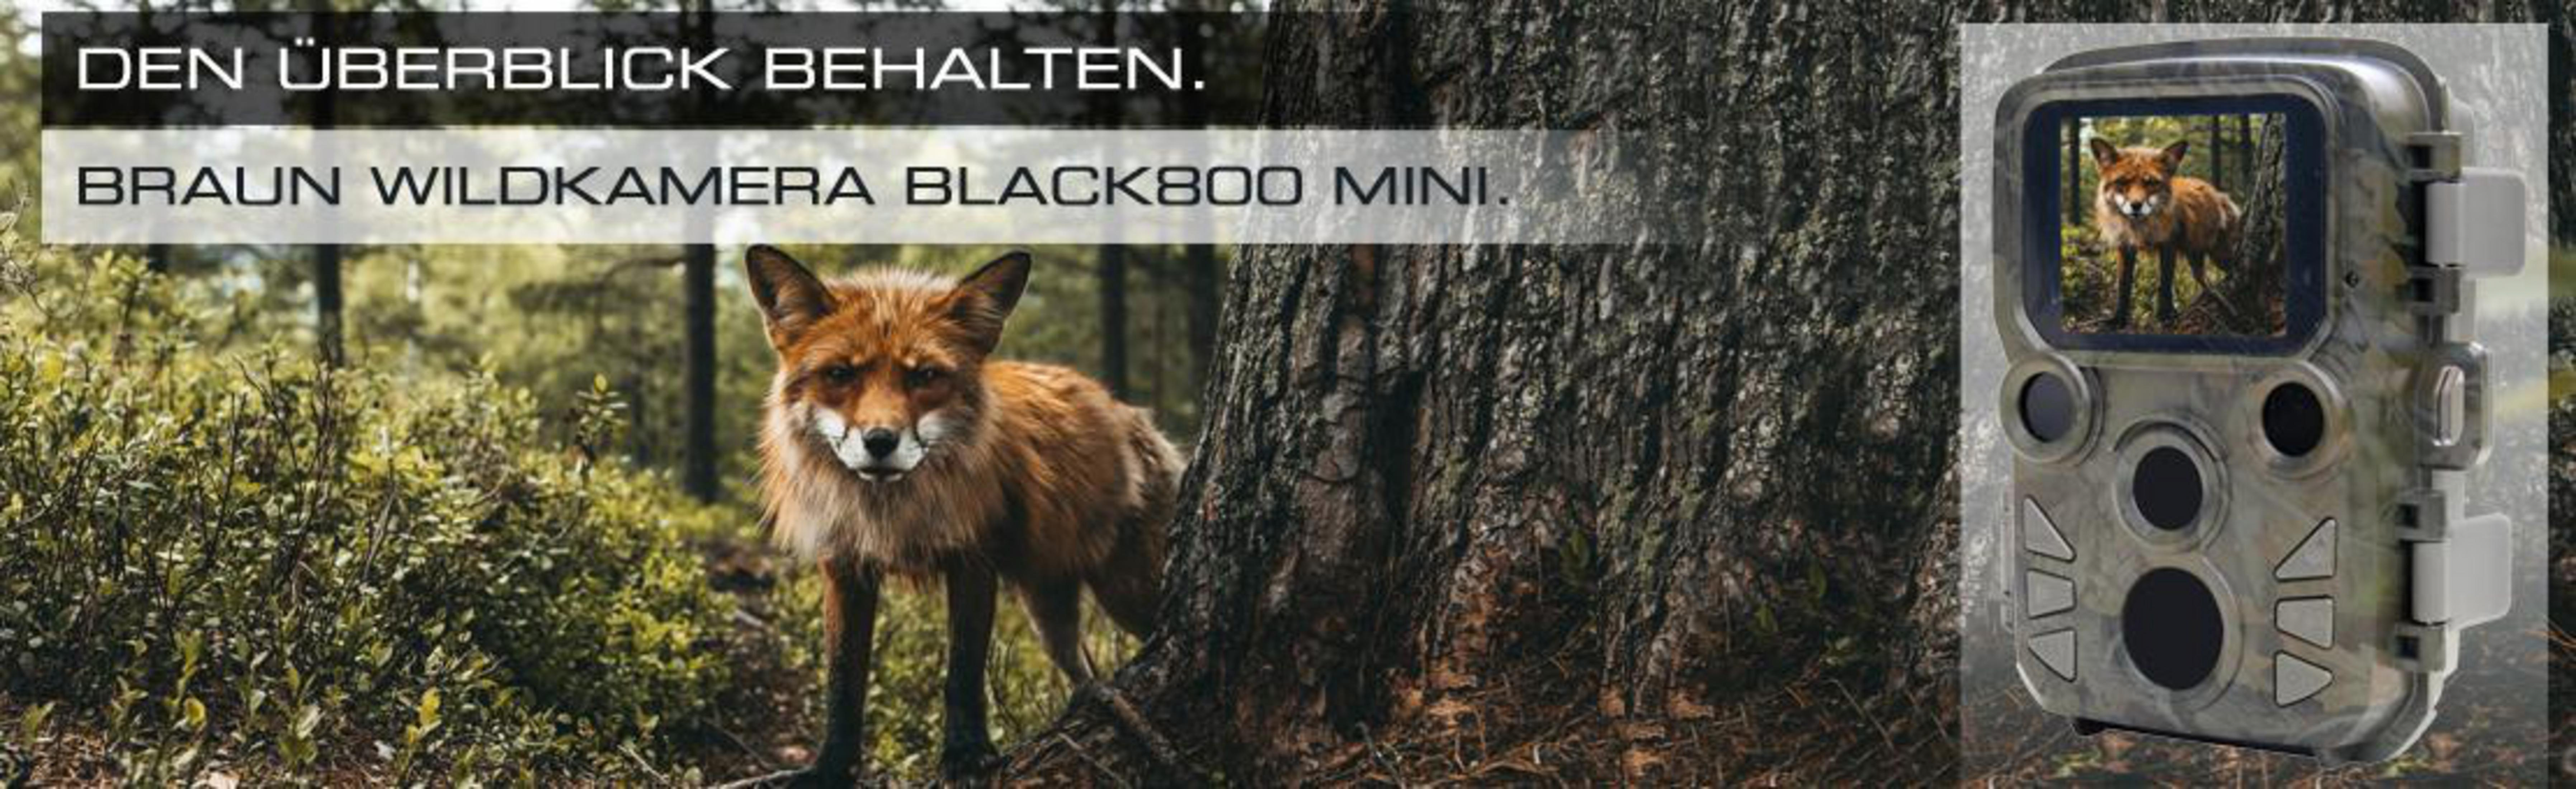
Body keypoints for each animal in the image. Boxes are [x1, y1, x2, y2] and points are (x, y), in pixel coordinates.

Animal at [743, 245, 1182, 786]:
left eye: (925, 376)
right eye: (841, 374)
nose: (880, 442)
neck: (892, 512)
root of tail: (1126, 410)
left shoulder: (974, 559)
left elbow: (964, 671)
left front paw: (967, 754)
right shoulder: (845, 566)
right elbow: (843, 682)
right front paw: (831, 768)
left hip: (1128, 592)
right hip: (1047, 606)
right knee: (1083, 666)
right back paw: (1087, 704)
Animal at [2089, 138, 2242, 328]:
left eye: (2151, 183)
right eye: (2123, 182)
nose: (2136, 205)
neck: (2141, 229)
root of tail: (2219, 193)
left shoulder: (2169, 245)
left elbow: (2165, 284)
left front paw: (2166, 316)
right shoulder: (2125, 247)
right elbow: (2124, 286)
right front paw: (2119, 319)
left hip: (2220, 256)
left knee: (2232, 270)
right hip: (2195, 260)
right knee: (2206, 281)